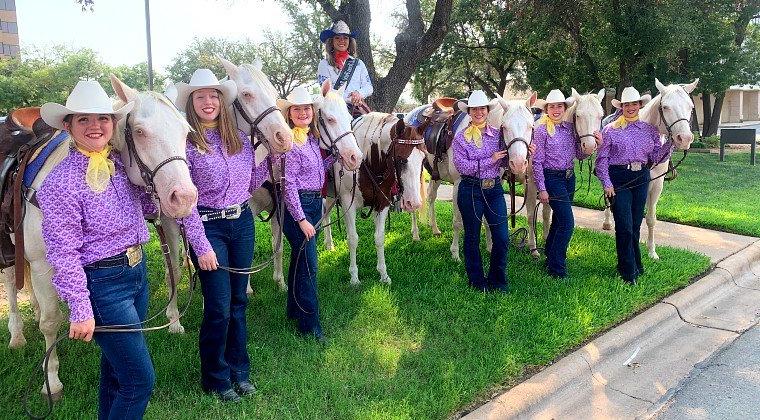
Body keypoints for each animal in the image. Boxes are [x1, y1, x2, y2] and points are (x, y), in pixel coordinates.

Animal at [2, 75, 197, 400]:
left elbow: (175, 274)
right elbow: (51, 321)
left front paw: (174, 321)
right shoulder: (43, 265)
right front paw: (51, 380)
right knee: (11, 285)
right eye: (140, 132)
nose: (184, 198)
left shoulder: (167, 221)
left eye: (185, 132)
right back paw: (16, 336)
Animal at [322, 108, 428, 286]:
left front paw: (383, 274)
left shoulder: (382, 203)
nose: (413, 203)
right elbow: (353, 239)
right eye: (401, 159)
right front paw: (354, 277)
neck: (367, 163)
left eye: (423, 158)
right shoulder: (347, 204)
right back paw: (329, 244)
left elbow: (379, 238)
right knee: (325, 215)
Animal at [412, 92, 536, 260]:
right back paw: (415, 235)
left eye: (531, 126)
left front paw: (490, 248)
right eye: (504, 127)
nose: (518, 163)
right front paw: (455, 253)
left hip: (435, 174)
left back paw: (435, 229)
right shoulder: (458, 185)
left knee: (431, 196)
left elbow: (487, 220)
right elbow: (457, 221)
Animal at [600, 77, 700, 258]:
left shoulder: (656, 184)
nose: (685, 138)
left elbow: (650, 218)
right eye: (665, 107)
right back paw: (606, 222)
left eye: (691, 106)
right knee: (607, 195)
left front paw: (651, 251)